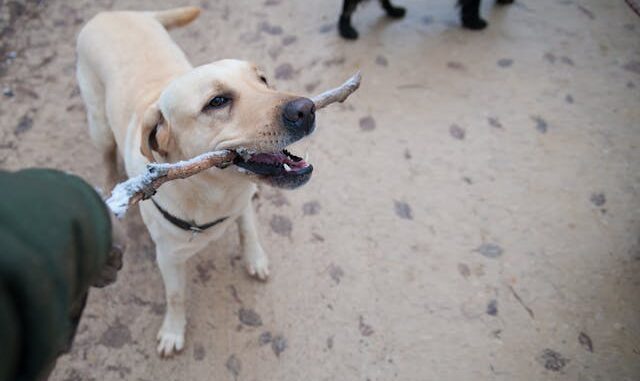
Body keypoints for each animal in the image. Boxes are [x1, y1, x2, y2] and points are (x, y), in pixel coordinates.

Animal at [77, 6, 316, 356]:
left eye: (262, 79)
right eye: (217, 102)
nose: (307, 109)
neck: (214, 193)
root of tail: (111, 12)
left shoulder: (241, 203)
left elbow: (248, 228)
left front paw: (255, 257)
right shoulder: (168, 258)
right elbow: (176, 296)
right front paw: (173, 330)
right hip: (98, 124)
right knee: (106, 153)